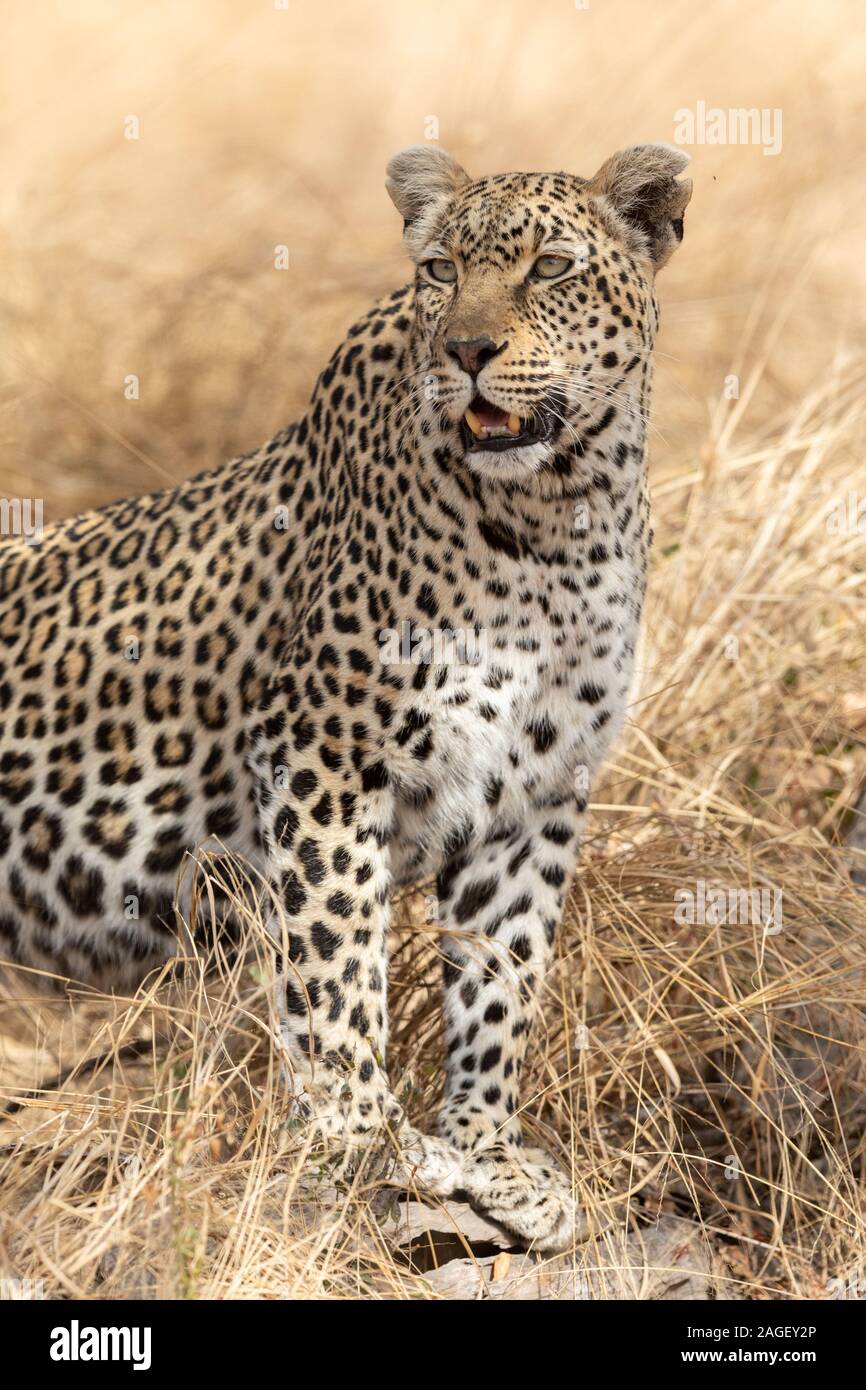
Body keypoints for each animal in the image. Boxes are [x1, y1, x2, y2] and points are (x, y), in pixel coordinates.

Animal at [0, 143, 691, 1250]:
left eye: (548, 267)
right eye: (442, 271)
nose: (468, 351)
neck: (557, 515)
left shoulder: (538, 794)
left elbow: (502, 980)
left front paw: (489, 1158)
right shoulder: (322, 753)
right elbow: (334, 962)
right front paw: (362, 1136)